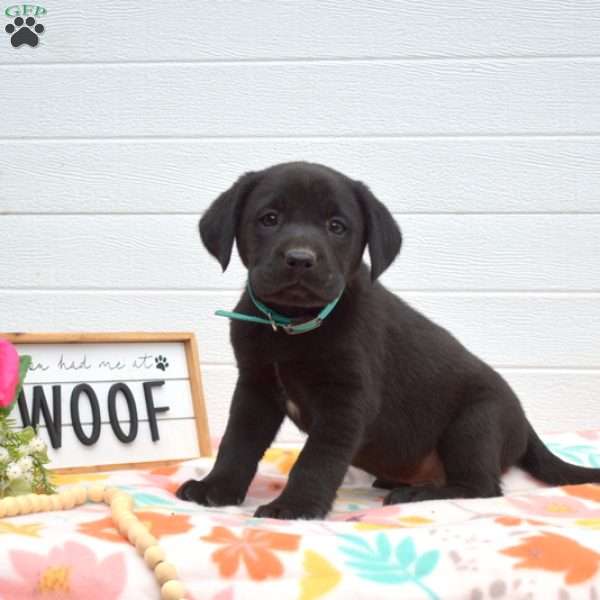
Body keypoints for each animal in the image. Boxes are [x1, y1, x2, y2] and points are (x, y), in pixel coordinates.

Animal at [177, 162, 600, 516]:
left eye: (336, 226)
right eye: (269, 219)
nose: (300, 258)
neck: (292, 325)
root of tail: (526, 424)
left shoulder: (346, 402)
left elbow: (315, 460)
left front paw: (295, 506)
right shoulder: (255, 389)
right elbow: (237, 445)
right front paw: (216, 488)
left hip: (475, 422)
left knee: (481, 486)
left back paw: (417, 493)